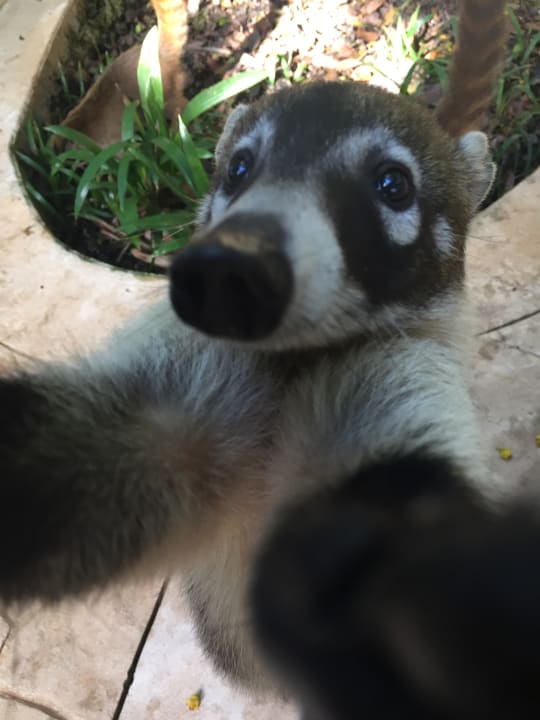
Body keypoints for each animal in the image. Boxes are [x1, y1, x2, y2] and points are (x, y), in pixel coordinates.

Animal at [0, 0, 510, 700]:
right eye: (239, 169)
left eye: (393, 185)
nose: (225, 270)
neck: (291, 362)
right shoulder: (183, 369)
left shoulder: (401, 374)